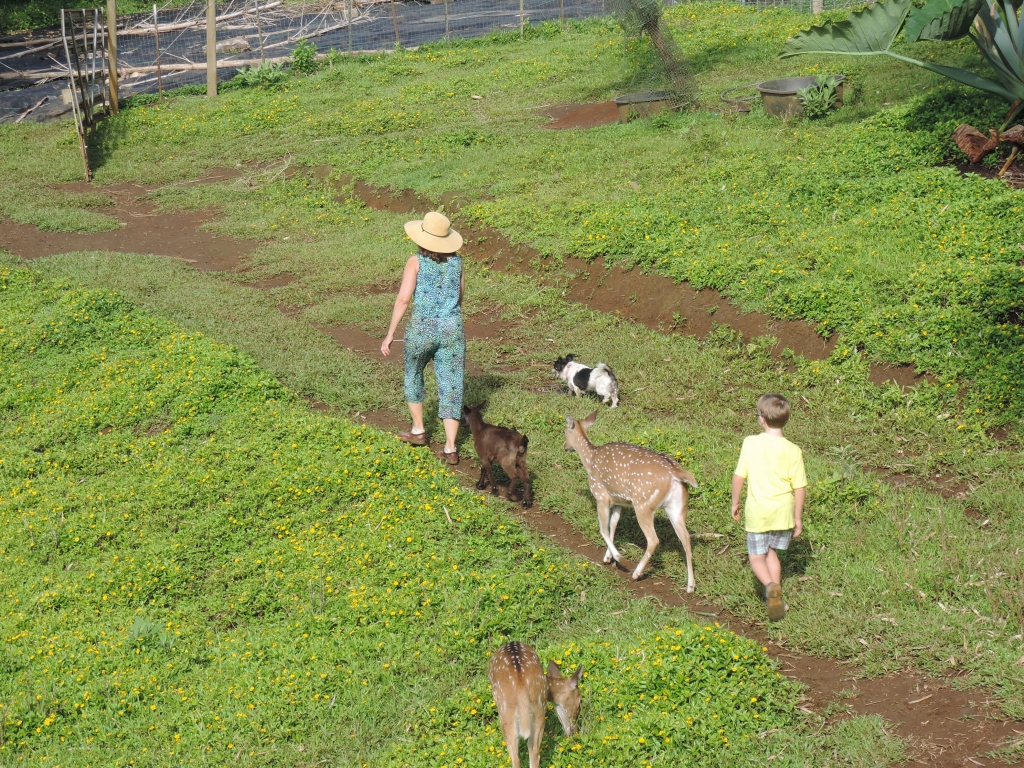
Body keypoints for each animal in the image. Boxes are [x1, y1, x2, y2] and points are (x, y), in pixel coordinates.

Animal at [565, 415, 700, 589]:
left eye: (564, 431)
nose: (565, 447)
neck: (590, 459)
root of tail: (675, 473)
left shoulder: (601, 495)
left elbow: (603, 529)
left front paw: (617, 556)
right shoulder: (619, 501)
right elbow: (613, 524)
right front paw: (608, 557)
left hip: (644, 505)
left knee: (654, 539)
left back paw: (636, 573)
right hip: (677, 508)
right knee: (686, 538)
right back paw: (690, 586)